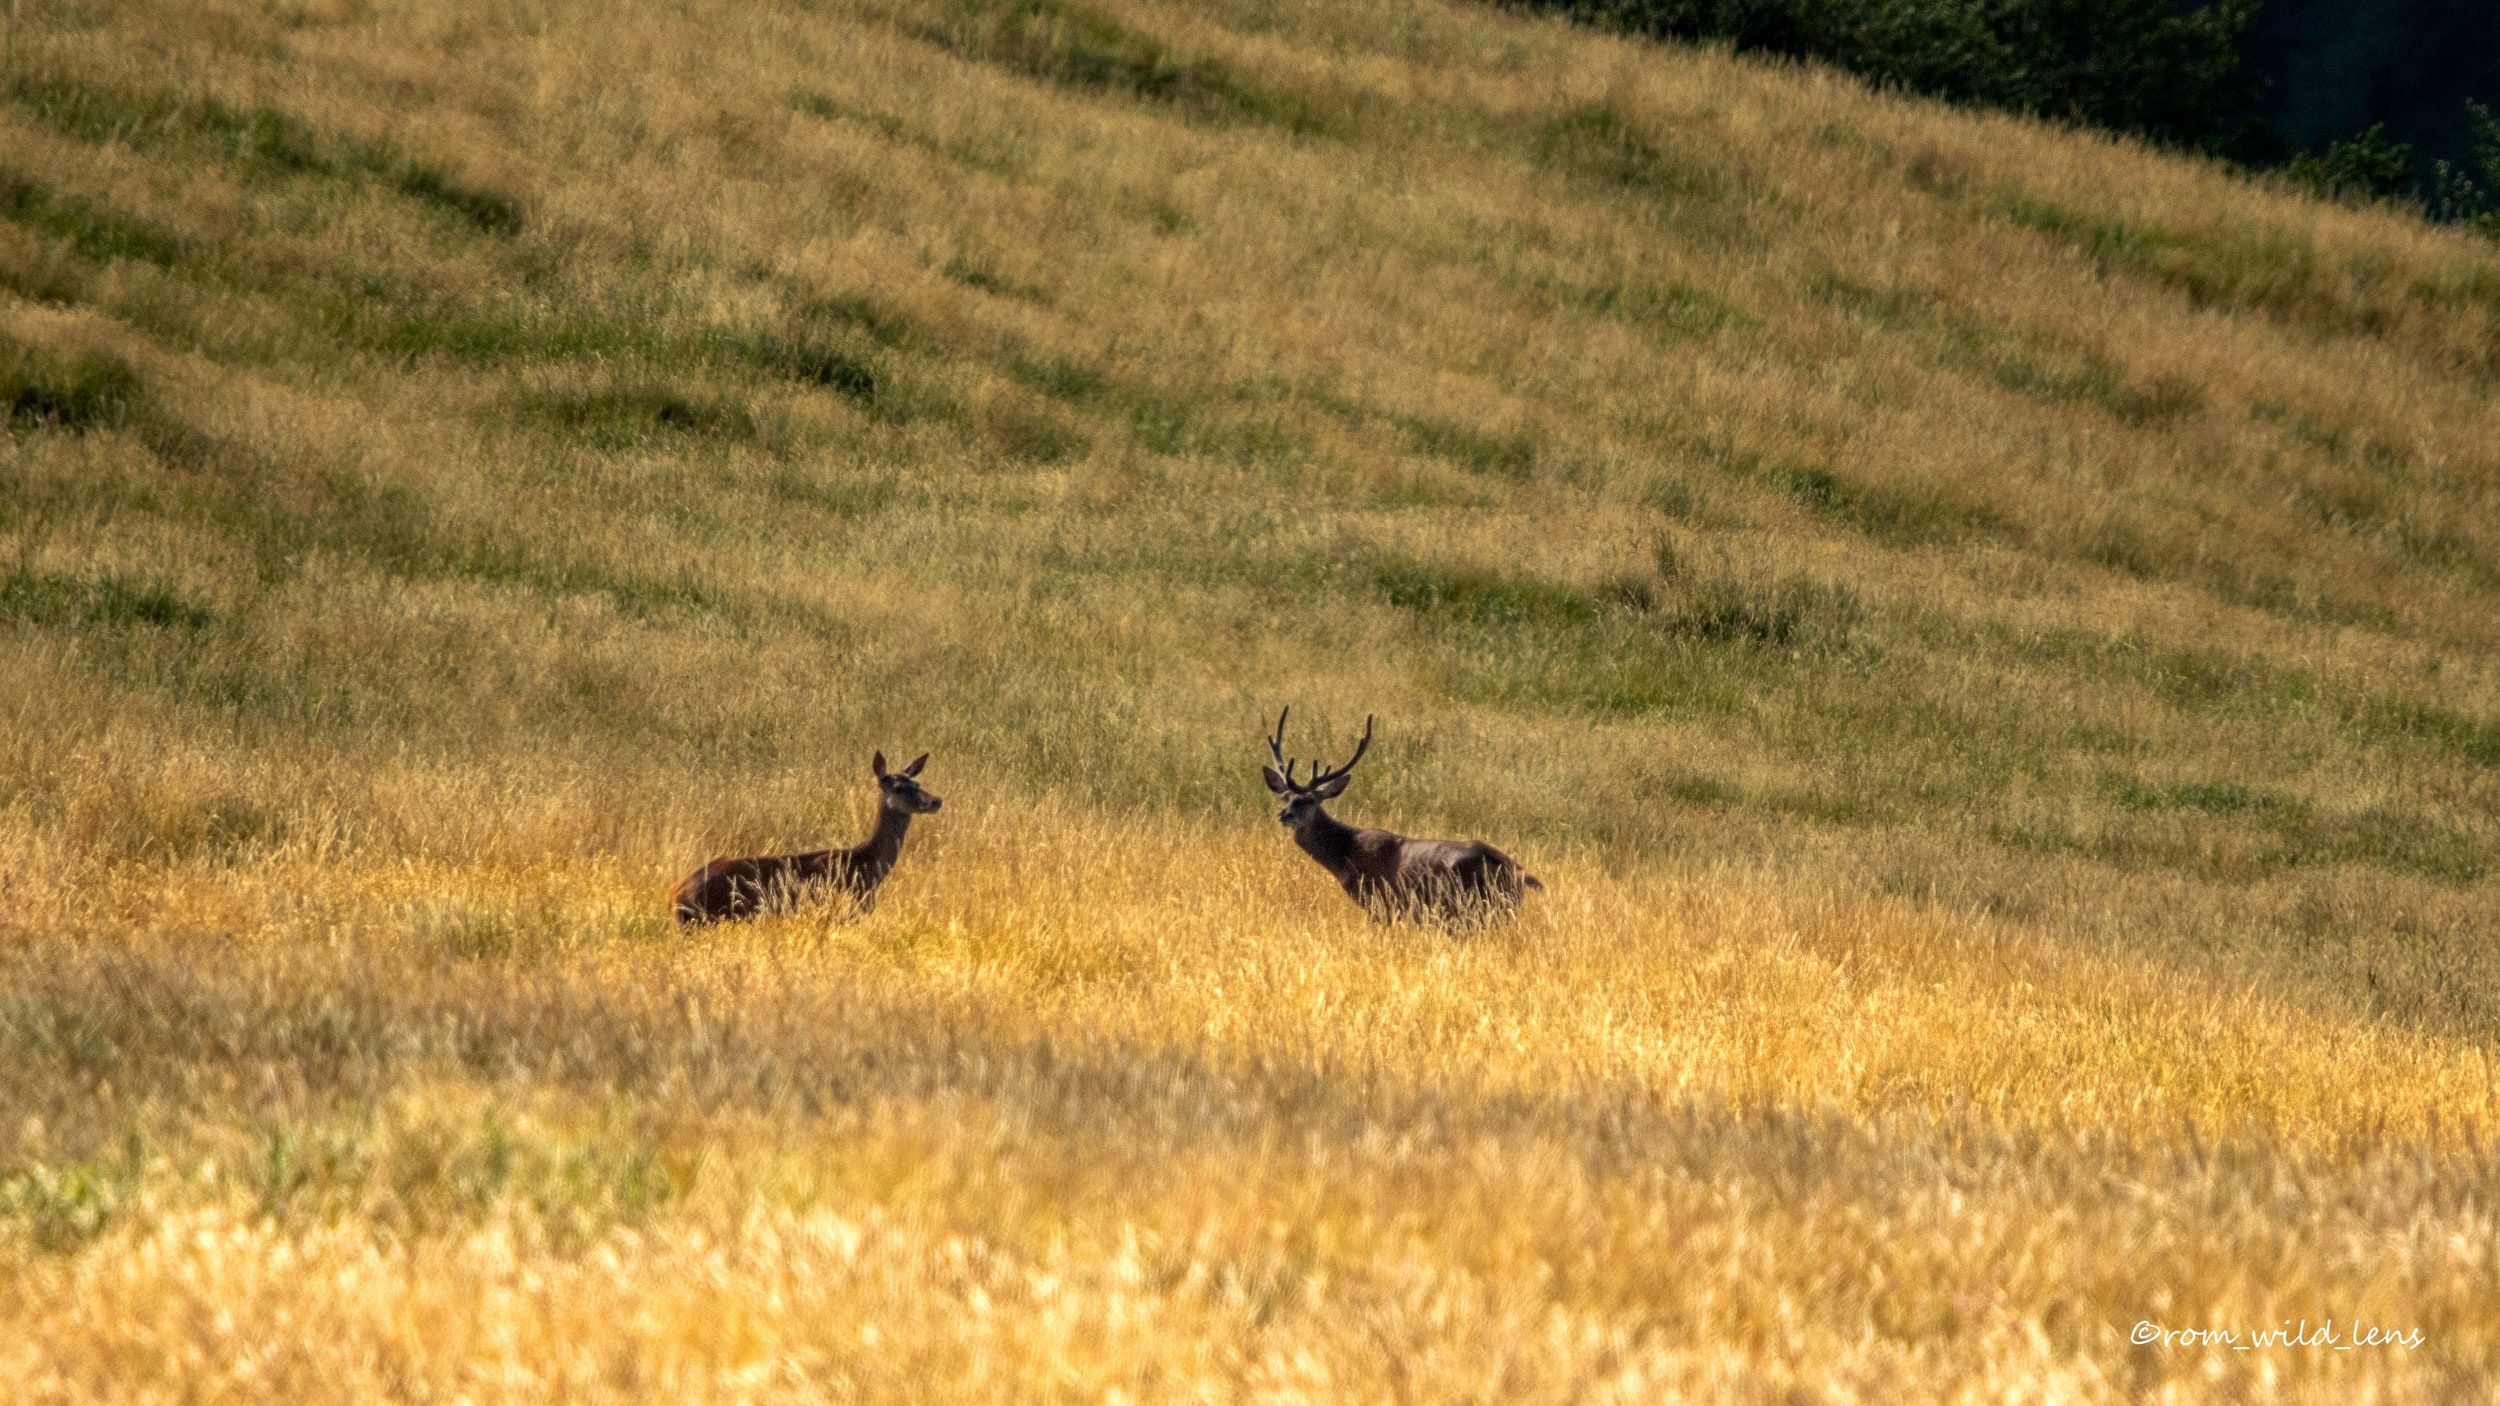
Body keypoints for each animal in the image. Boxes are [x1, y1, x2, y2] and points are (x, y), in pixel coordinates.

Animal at [1261, 709, 1540, 926]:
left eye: (1309, 800)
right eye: (1284, 796)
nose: (1284, 814)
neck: (1346, 857)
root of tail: (1519, 872)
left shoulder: (1380, 902)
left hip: (1477, 906)